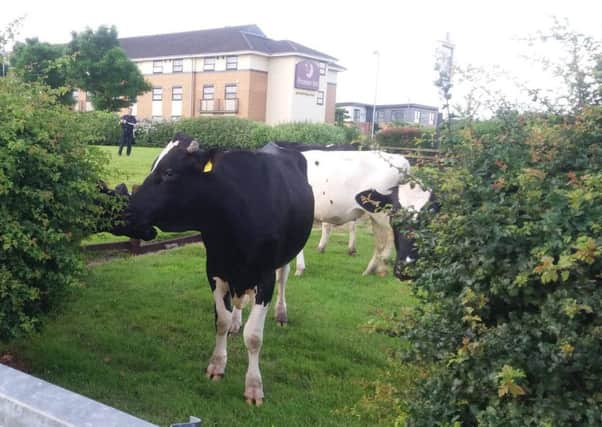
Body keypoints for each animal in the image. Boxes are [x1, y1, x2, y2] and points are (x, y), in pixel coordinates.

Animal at [110, 135, 314, 406]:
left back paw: (281, 314)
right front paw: (217, 365)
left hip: (282, 260)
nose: (126, 211)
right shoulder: (215, 269)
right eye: (154, 166)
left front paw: (254, 387)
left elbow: (254, 336)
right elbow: (221, 321)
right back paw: (238, 322)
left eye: (170, 172)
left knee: (283, 279)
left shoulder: (264, 277)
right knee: (239, 303)